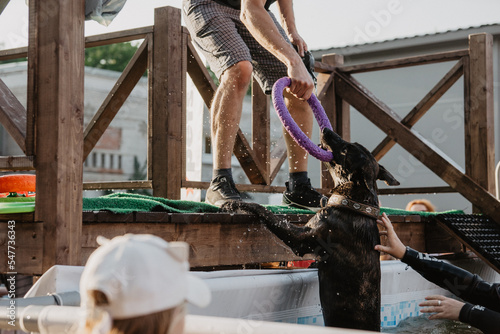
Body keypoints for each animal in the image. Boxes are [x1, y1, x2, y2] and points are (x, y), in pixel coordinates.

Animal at [221, 129, 400, 332]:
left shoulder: (300, 238)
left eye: (346, 149)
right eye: (350, 144)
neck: (354, 205)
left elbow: (266, 213)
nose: (326, 130)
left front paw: (235, 203)